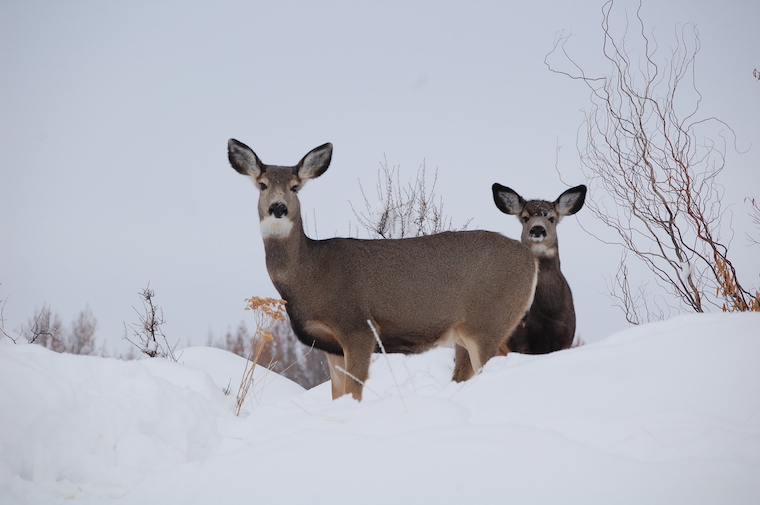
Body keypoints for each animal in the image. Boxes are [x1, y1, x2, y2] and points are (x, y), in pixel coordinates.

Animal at [227, 138, 539, 401]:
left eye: (295, 187)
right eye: (262, 185)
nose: (278, 208)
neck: (309, 274)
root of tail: (530, 259)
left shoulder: (358, 327)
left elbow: (354, 391)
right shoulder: (330, 345)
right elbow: (337, 394)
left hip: (488, 321)